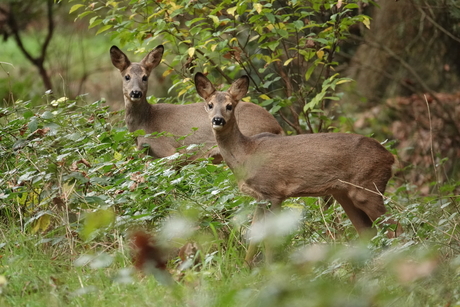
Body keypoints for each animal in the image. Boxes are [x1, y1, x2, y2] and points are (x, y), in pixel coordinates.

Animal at [110, 45, 284, 164]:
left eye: (145, 77)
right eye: (126, 76)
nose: (136, 93)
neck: (143, 124)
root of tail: (277, 126)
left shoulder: (170, 151)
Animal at [195, 73, 402, 268]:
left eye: (230, 106)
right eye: (209, 105)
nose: (218, 120)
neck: (246, 154)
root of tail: (391, 158)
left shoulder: (274, 191)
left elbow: (270, 237)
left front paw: (270, 269)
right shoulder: (260, 197)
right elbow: (254, 235)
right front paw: (246, 268)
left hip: (368, 187)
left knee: (395, 228)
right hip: (344, 194)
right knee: (369, 232)